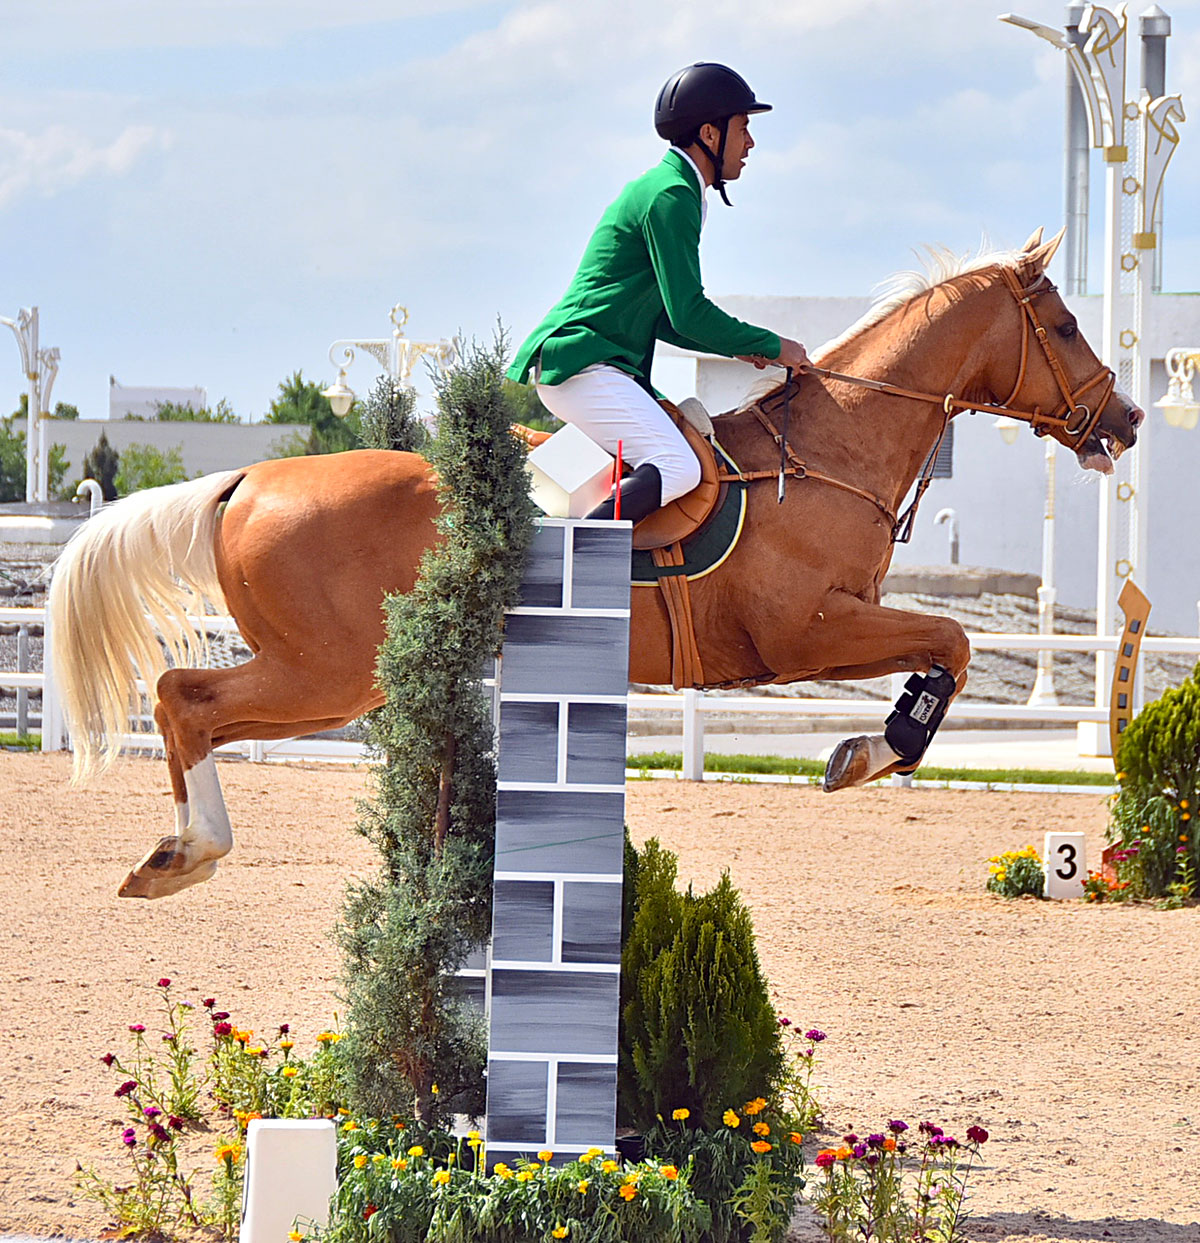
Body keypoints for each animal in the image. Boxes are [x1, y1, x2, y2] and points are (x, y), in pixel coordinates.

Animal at [49, 233, 1144, 899]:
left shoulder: (834, 628)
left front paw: (867, 748)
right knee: (184, 699)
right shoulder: (807, 632)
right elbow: (950, 641)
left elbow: (944, 647)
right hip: (330, 672)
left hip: (334, 675)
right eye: (1062, 326)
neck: (826, 452)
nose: (1127, 419)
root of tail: (247, 479)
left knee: (187, 703)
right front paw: (871, 752)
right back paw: (187, 852)